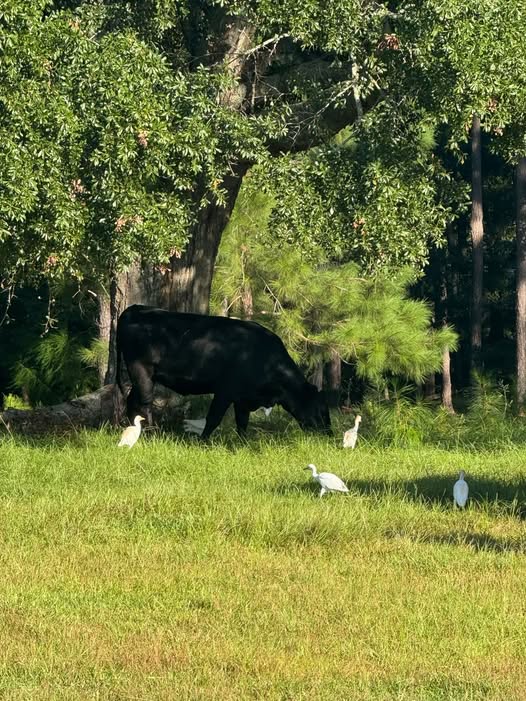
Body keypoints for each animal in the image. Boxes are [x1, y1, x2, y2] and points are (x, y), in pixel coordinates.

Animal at [116, 304, 331, 439]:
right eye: (320, 409)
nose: (328, 433)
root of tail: (134, 308)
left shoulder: (243, 398)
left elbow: (242, 422)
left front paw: (243, 443)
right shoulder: (225, 391)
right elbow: (213, 419)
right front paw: (202, 441)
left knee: (132, 400)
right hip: (141, 370)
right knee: (145, 402)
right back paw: (152, 432)